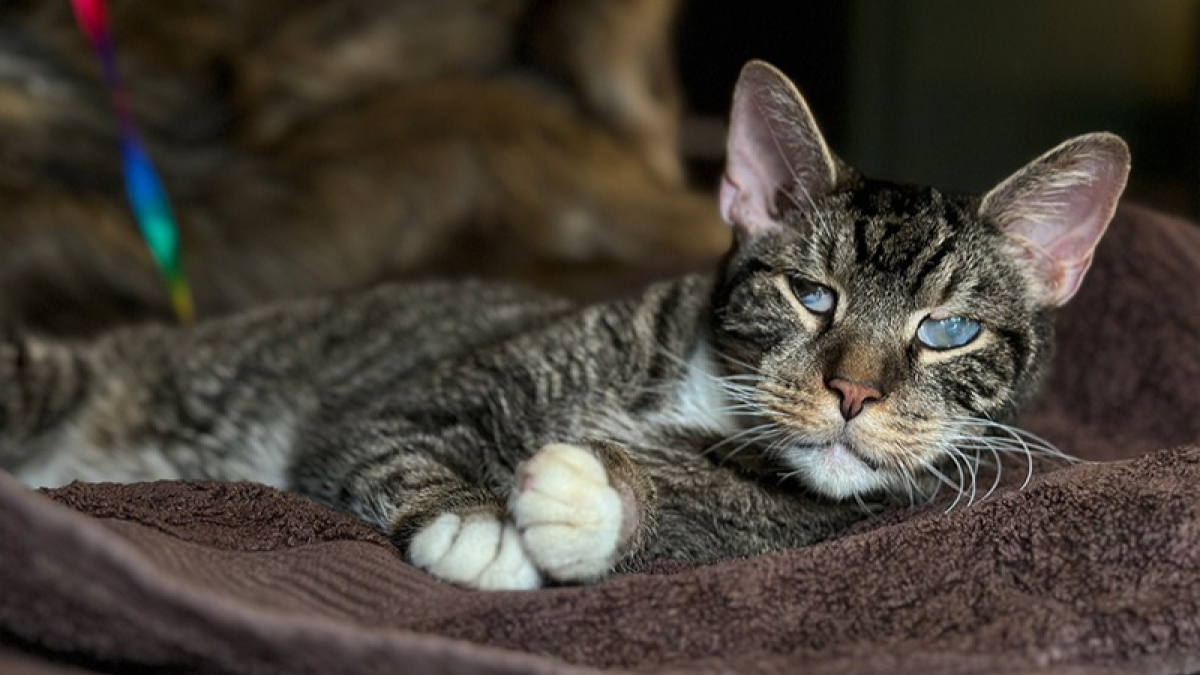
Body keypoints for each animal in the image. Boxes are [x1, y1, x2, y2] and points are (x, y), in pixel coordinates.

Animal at [0, 63, 1128, 588]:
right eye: (813, 295)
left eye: (949, 332)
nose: (853, 391)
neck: (696, 385)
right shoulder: (420, 391)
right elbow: (391, 434)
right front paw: (471, 524)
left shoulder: (815, 519)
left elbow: (717, 516)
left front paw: (592, 504)